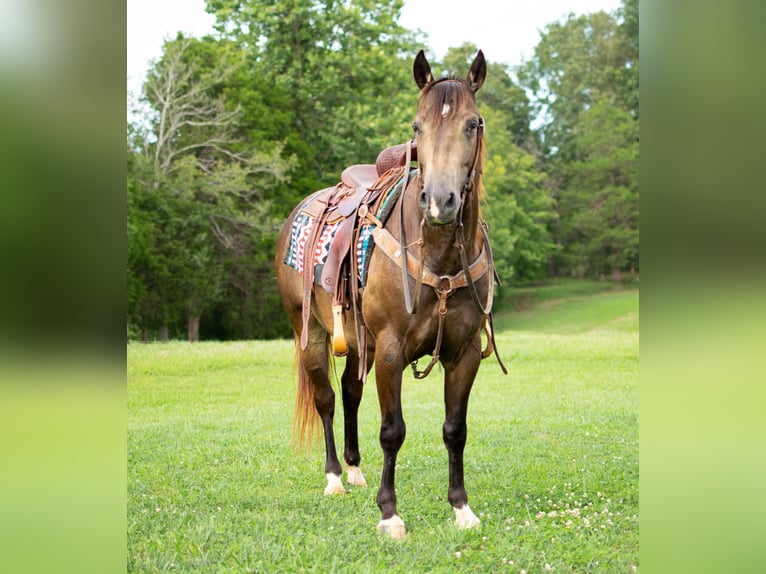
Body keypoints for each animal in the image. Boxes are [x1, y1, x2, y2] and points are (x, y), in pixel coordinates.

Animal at [274, 49, 504, 540]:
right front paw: (390, 513)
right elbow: (392, 431)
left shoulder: (465, 352)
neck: (439, 255)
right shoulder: (392, 349)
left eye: (473, 124)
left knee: (349, 390)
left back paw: (355, 468)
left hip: (360, 342)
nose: (440, 202)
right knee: (327, 399)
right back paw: (335, 477)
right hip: (311, 334)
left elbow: (455, 429)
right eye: (417, 127)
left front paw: (462, 508)